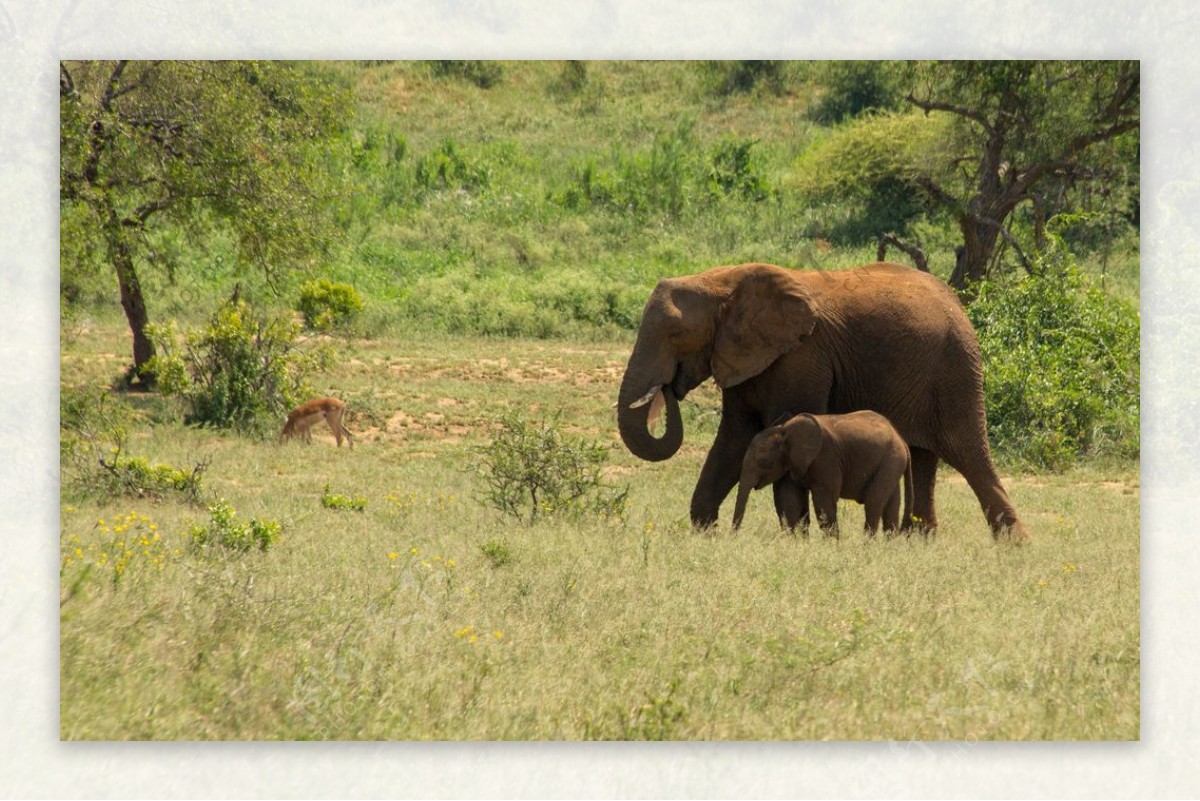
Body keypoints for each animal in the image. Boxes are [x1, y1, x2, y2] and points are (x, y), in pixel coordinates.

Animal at [729, 410, 907, 534]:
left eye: (762, 462)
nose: (733, 536)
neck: (783, 430)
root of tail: (901, 439)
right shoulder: (792, 462)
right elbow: (790, 501)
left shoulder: (826, 457)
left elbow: (824, 502)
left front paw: (832, 546)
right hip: (891, 463)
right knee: (891, 506)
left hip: (891, 459)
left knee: (873, 502)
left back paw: (867, 547)